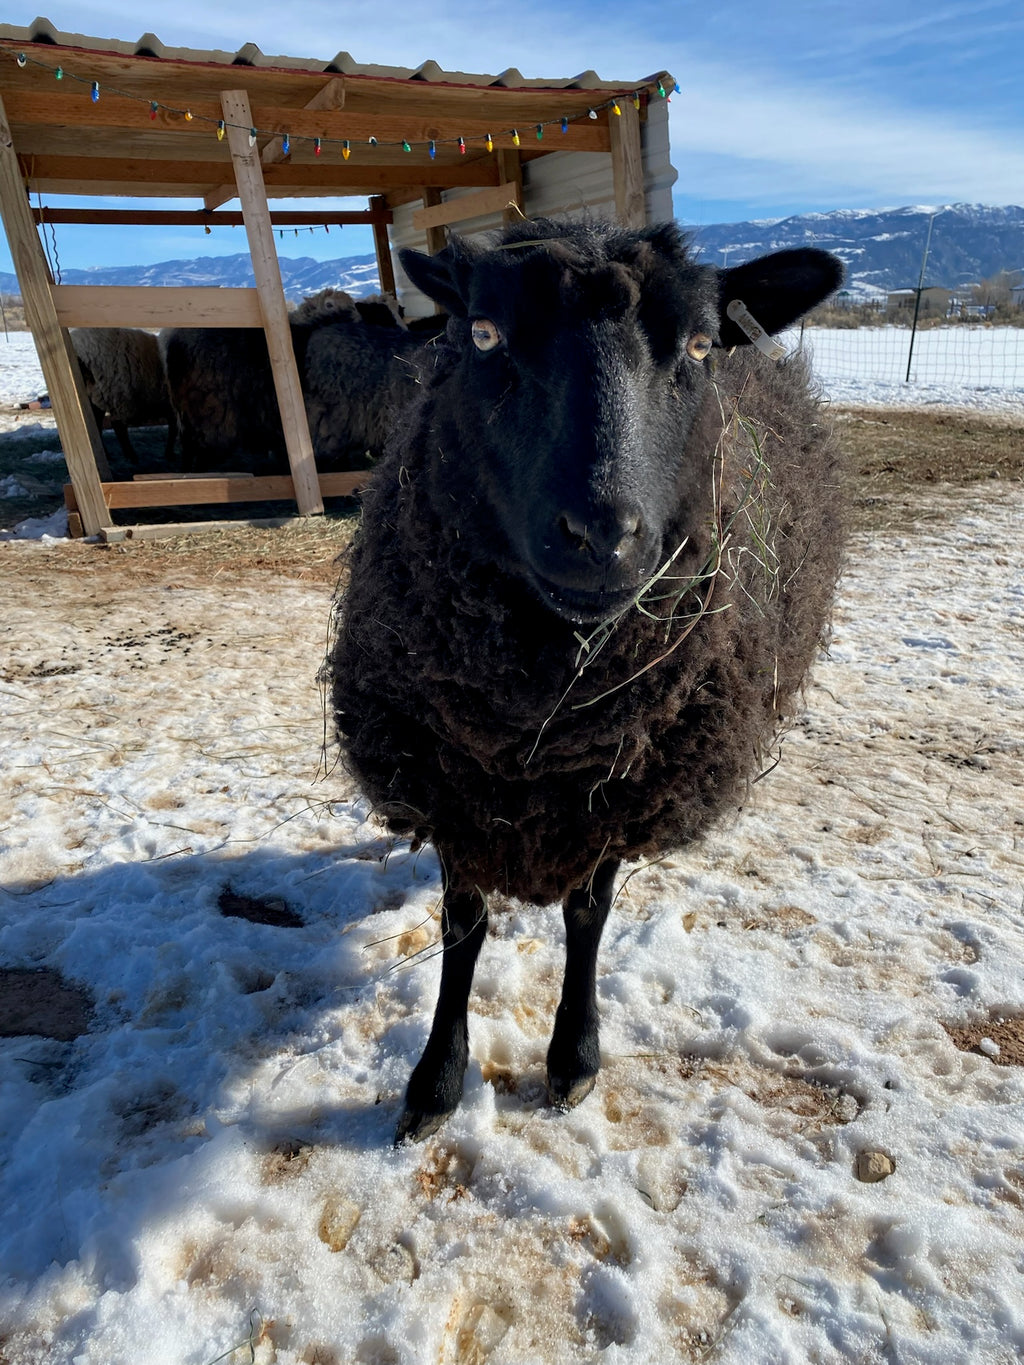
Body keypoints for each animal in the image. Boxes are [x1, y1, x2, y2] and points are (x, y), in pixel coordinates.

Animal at [70, 327, 175, 465]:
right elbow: (175, 429)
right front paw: (170, 454)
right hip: (118, 393)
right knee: (118, 425)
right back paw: (131, 456)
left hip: (95, 396)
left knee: (96, 426)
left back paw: (107, 455)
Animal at [328, 218, 846, 1144]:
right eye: (484, 333)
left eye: (702, 346)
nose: (602, 534)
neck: (539, 724)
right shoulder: (454, 782)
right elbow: (462, 923)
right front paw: (436, 1080)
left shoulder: (618, 788)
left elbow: (586, 914)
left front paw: (573, 1056)